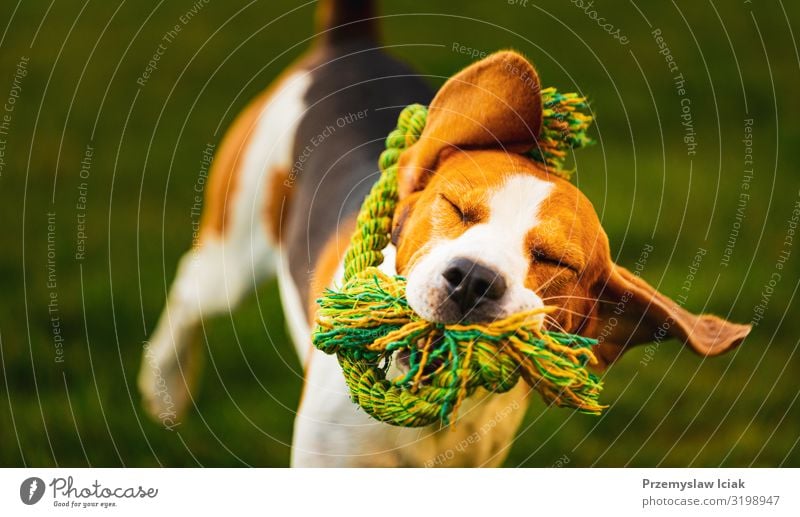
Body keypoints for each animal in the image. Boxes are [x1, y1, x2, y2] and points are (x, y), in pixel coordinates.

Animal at [138, 0, 752, 466]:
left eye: (556, 261)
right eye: (456, 208)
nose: (473, 279)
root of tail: (350, 44)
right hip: (233, 252)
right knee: (190, 287)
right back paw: (166, 385)